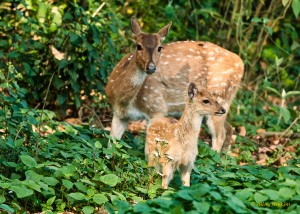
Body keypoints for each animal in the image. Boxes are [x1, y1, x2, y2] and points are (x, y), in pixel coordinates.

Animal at [105, 18, 244, 152]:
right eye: (138, 46)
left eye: (159, 47)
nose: (151, 67)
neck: (125, 100)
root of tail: (241, 63)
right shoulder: (119, 114)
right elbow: (111, 145)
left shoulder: (157, 108)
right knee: (229, 129)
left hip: (220, 96)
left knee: (220, 135)